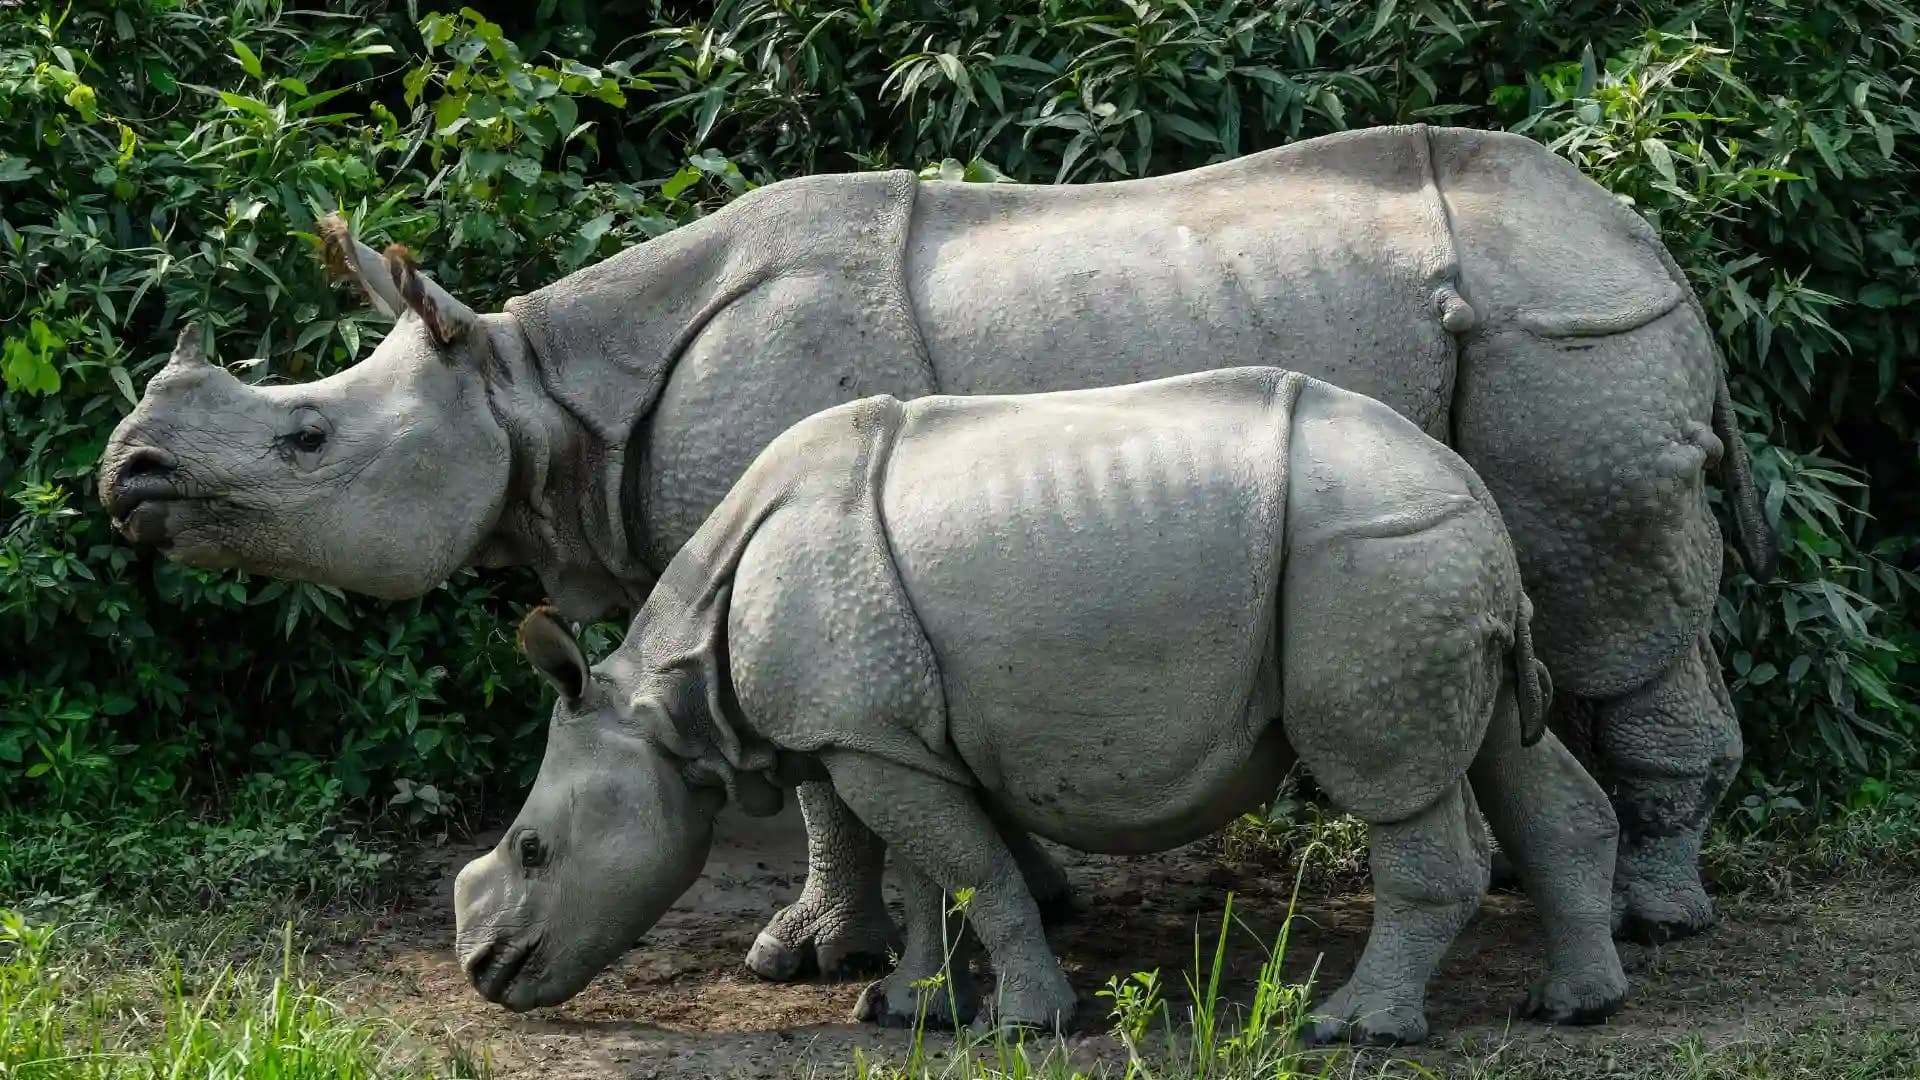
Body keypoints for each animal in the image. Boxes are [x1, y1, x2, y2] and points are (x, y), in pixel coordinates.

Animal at [451, 367, 1629, 1044]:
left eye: (533, 850)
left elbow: (974, 872)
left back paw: (1354, 1032)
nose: (481, 973)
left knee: (1395, 789)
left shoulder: (866, 735)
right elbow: (936, 876)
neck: (665, 697)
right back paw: (1577, 1006)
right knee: (1507, 754)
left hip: (1373, 559)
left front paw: (1024, 1028)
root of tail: (1466, 485)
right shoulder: (887, 736)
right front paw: (909, 1010)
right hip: (1428, 559)